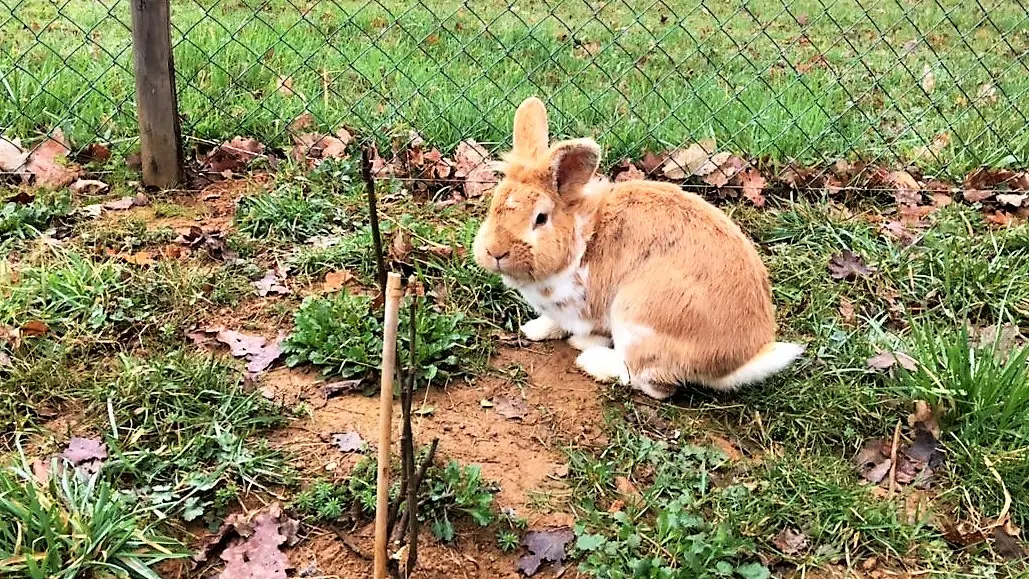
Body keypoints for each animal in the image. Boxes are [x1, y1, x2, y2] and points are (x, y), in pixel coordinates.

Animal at [473, 97, 802, 401]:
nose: (495, 252)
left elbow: (589, 331)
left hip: (636, 317)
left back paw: (592, 362)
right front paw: (535, 329)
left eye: (540, 218)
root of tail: (733, 363)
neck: (581, 237)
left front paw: (581, 343)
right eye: (494, 204)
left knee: (650, 382)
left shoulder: (589, 310)